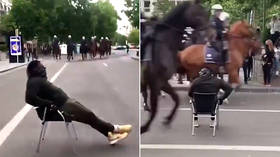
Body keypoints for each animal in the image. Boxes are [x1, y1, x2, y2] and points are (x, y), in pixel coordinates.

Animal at [141, 0, 209, 134]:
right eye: (199, 12)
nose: (210, 33)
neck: (164, 45)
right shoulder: (156, 81)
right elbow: (156, 108)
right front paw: (144, 128)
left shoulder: (162, 81)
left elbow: (176, 98)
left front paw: (167, 120)